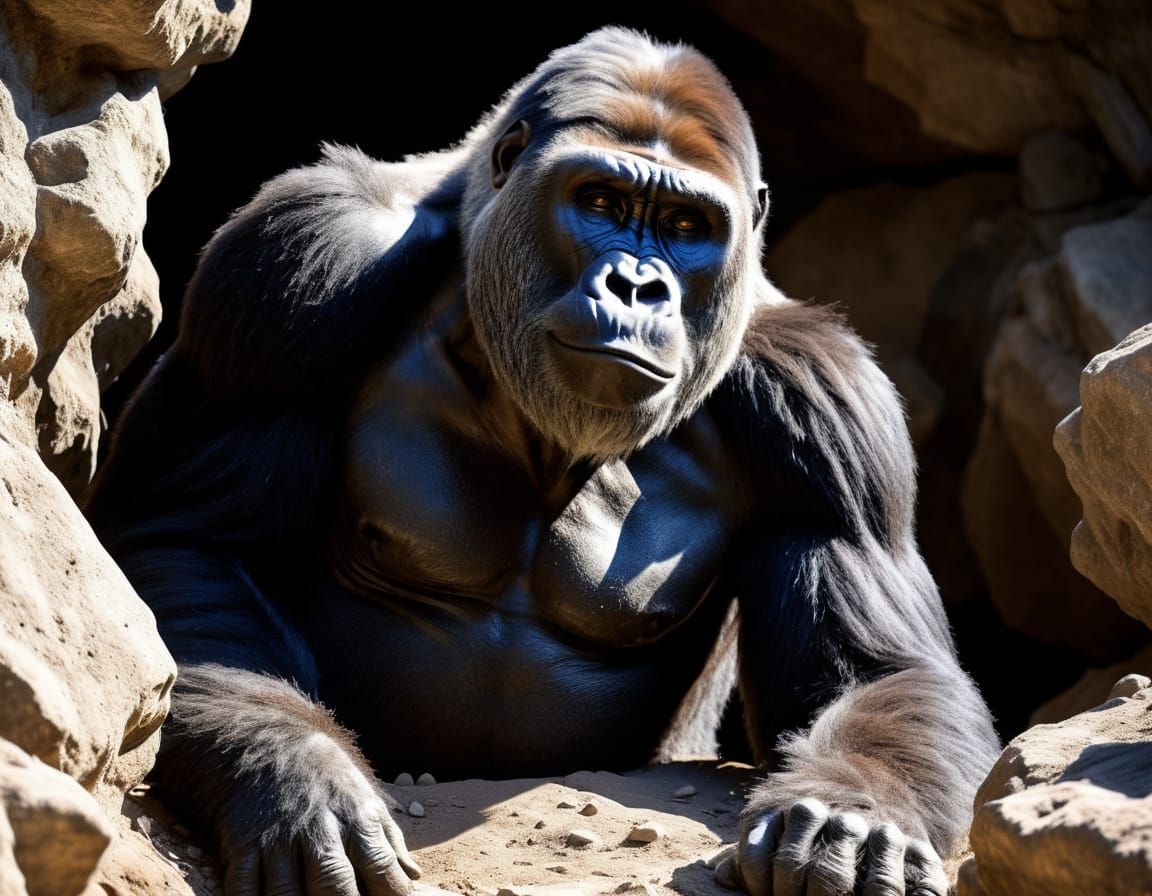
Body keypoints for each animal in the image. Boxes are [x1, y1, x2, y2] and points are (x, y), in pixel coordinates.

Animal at [86, 25, 1001, 896]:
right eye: (599, 200)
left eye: (686, 228)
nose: (637, 286)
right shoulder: (293, 264)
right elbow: (191, 543)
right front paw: (292, 777)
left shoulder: (825, 396)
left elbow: (879, 669)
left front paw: (855, 810)